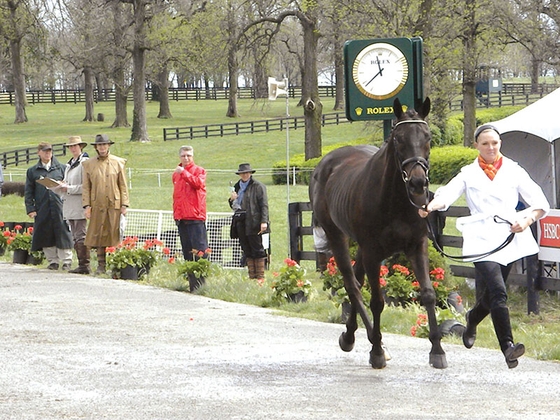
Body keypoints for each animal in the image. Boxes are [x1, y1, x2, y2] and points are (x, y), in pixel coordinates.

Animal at [310, 97, 446, 370]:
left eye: (427, 137)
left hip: (362, 247)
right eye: (399, 138)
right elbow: (377, 301)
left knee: (357, 279)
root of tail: (325, 163)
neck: (397, 200)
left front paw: (437, 349)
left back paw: (351, 335)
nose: (418, 182)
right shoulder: (373, 251)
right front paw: (376, 351)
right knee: (352, 284)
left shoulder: (417, 245)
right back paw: (372, 340)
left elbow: (428, 294)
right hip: (337, 235)